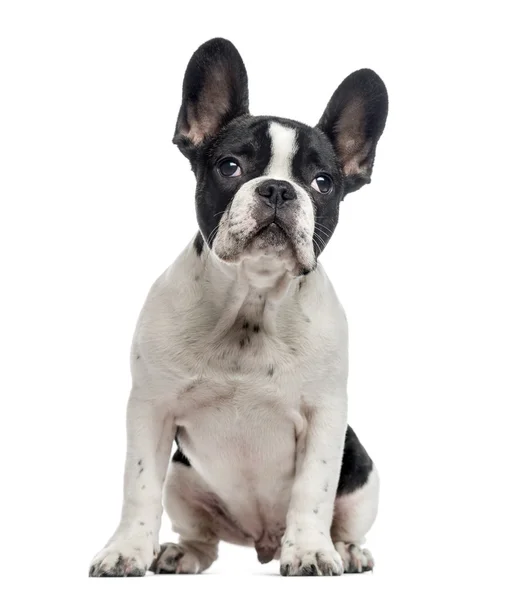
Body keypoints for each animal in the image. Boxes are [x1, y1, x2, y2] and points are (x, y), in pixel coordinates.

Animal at [88, 36, 388, 576]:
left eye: (323, 182)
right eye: (230, 166)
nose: (278, 189)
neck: (253, 300)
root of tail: (262, 540)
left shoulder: (325, 418)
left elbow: (313, 489)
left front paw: (311, 550)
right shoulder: (151, 410)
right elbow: (138, 486)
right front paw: (126, 550)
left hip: (361, 470)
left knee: (346, 517)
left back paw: (345, 550)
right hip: (182, 478)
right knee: (202, 536)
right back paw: (180, 553)